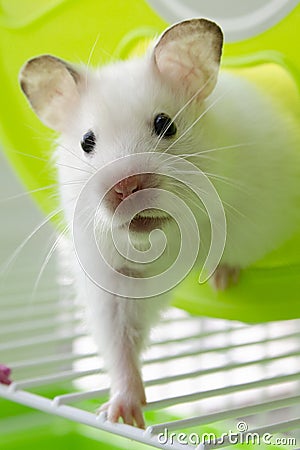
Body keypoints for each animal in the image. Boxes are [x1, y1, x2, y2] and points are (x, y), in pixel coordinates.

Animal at [19, 19, 298, 428]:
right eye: (87, 142)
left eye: (165, 125)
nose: (125, 188)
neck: (172, 232)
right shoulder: (116, 278)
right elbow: (120, 343)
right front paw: (122, 416)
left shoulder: (259, 213)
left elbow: (237, 250)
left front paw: (221, 282)